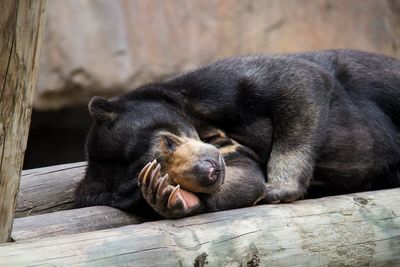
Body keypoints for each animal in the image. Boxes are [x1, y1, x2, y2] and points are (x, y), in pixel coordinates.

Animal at [75, 49, 400, 219]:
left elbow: (298, 81)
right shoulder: (226, 149)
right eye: (156, 173)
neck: (204, 127)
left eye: (167, 141)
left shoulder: (212, 88)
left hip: (374, 77)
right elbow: (245, 175)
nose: (209, 171)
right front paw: (168, 197)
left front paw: (277, 188)